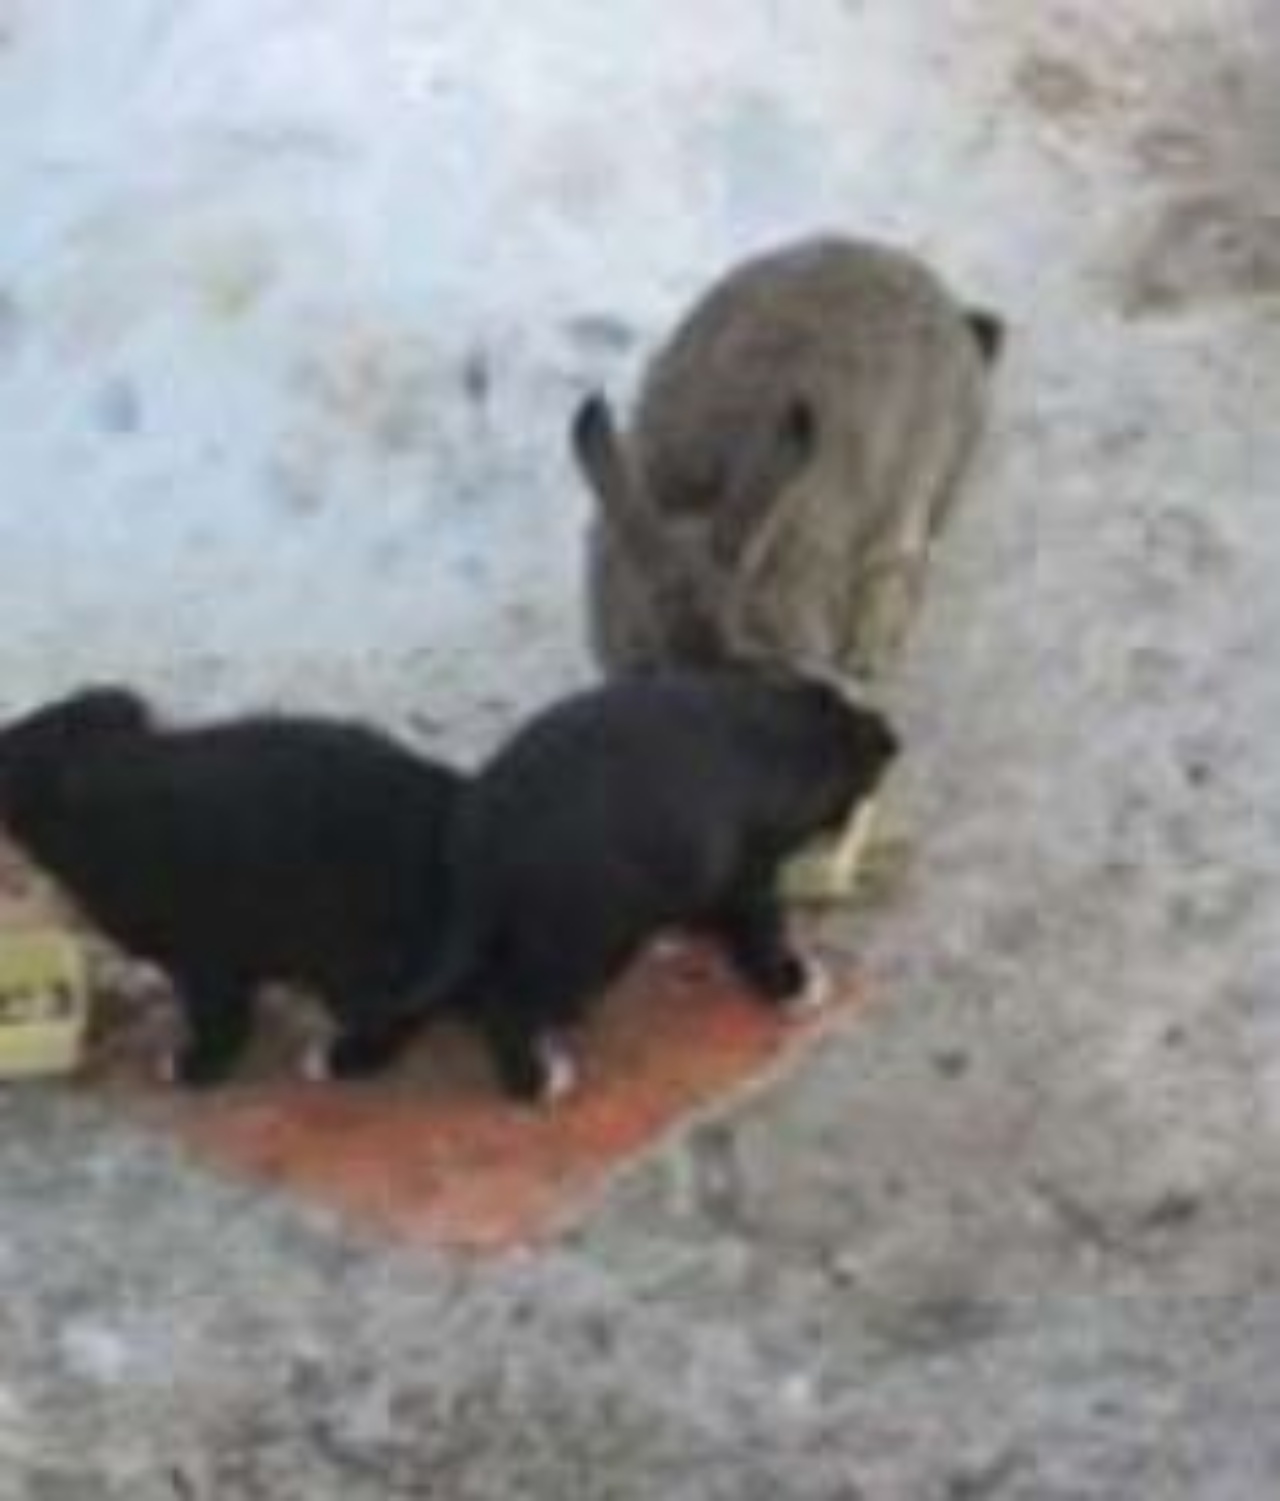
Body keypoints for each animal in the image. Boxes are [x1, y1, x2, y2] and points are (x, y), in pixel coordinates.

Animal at [0, 687, 465, 1086]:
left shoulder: (206, 947)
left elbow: (221, 1015)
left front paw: (194, 1067)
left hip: (358, 942)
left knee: (398, 1008)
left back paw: (341, 1059)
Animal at [414, 669, 894, 1104]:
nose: (893, 736)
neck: (782, 737)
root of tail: (476, 845)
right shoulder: (747, 874)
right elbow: (760, 934)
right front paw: (792, 984)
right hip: (586, 937)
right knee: (508, 1002)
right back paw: (538, 1082)